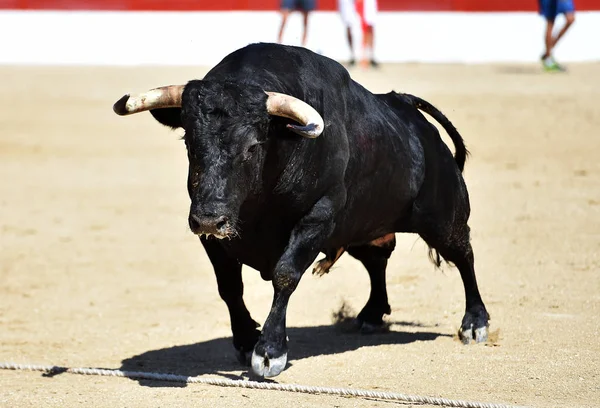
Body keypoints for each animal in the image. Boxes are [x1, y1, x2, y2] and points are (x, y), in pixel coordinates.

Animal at [111, 43, 488, 378]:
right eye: (189, 142)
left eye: (252, 147)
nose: (208, 218)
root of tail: (408, 110)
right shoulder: (214, 237)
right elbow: (229, 286)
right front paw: (246, 339)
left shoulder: (317, 218)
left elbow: (285, 274)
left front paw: (268, 351)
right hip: (364, 226)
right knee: (377, 259)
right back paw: (371, 314)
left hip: (444, 218)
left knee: (464, 255)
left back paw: (475, 323)